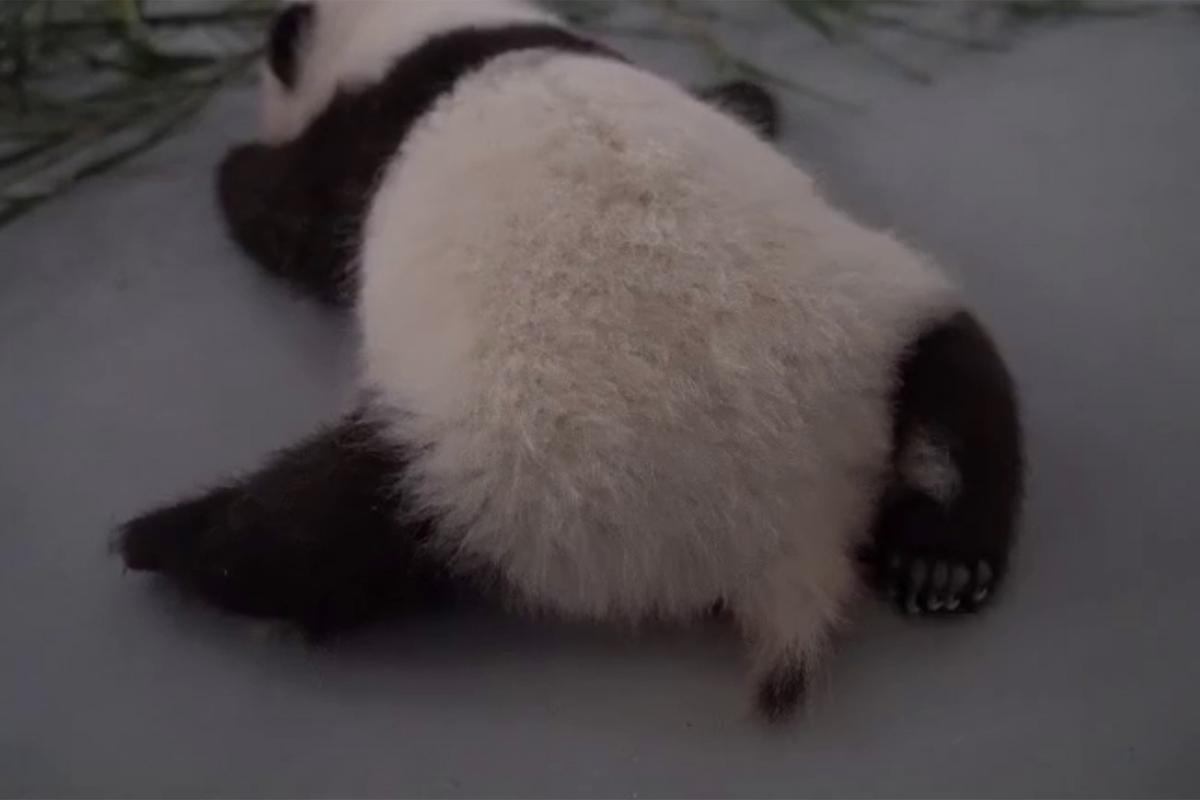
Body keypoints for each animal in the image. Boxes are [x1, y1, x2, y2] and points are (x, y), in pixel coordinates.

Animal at [119, 0, 1022, 724]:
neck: (434, 29)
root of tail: (786, 536)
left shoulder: (355, 146)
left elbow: (291, 222)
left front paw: (234, 170)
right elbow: (739, 104)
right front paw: (750, 100)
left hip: (489, 472)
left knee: (315, 528)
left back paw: (165, 540)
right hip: (879, 324)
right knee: (962, 383)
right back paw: (943, 560)